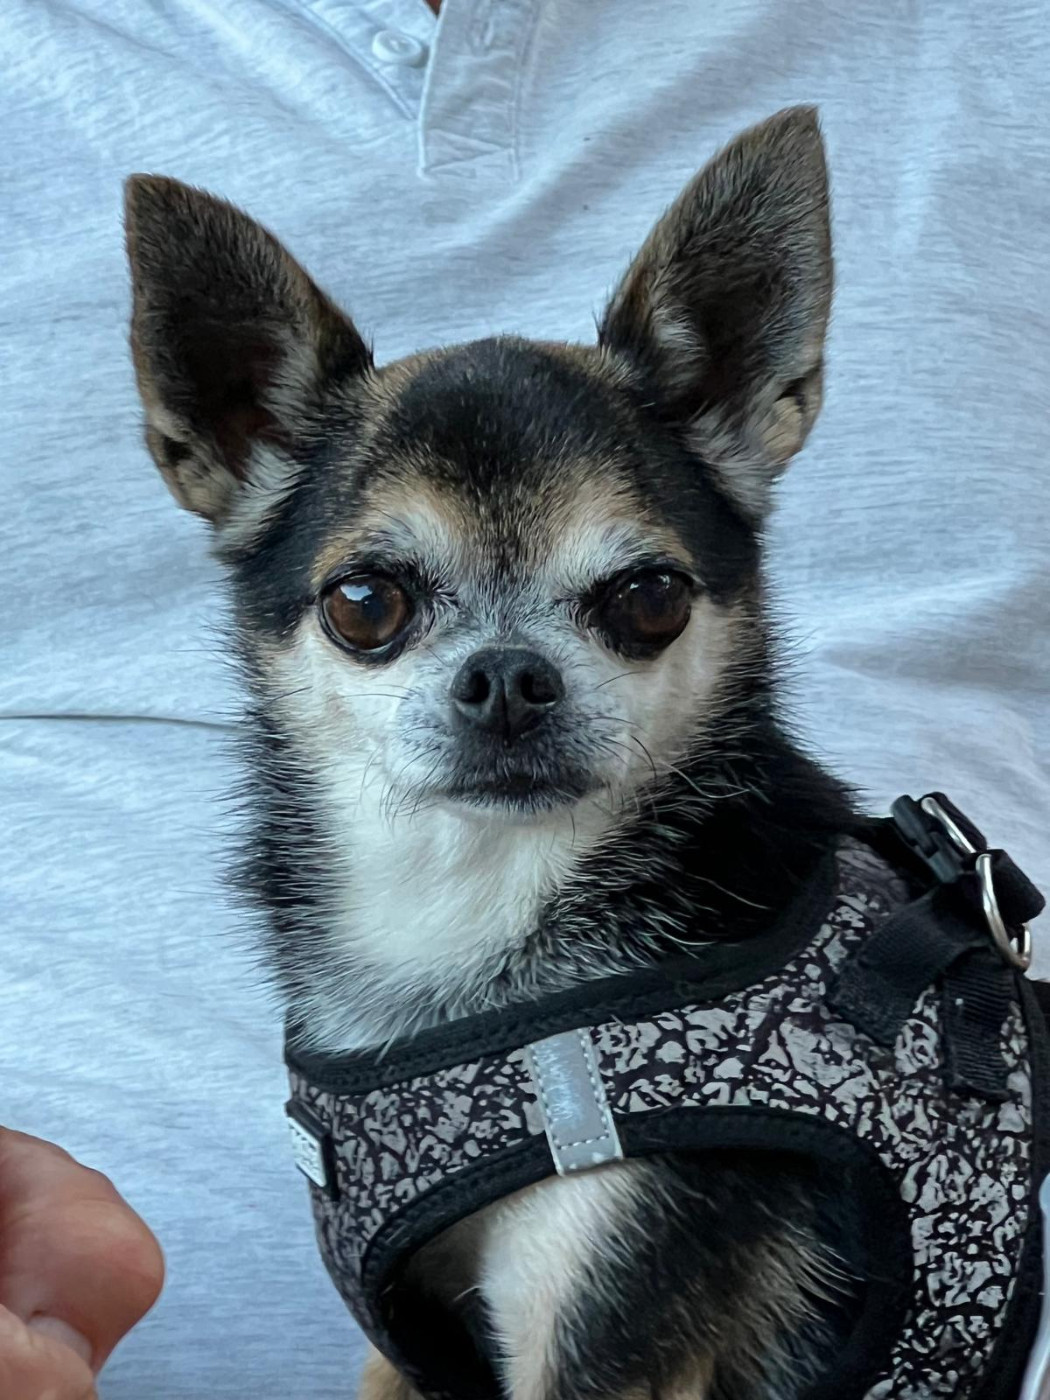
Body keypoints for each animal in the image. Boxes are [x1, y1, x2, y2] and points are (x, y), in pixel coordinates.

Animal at [125, 106, 876, 1400]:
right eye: (364, 602)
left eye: (649, 596)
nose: (510, 675)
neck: (473, 917)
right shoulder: (412, 1344)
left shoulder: (608, 1322)